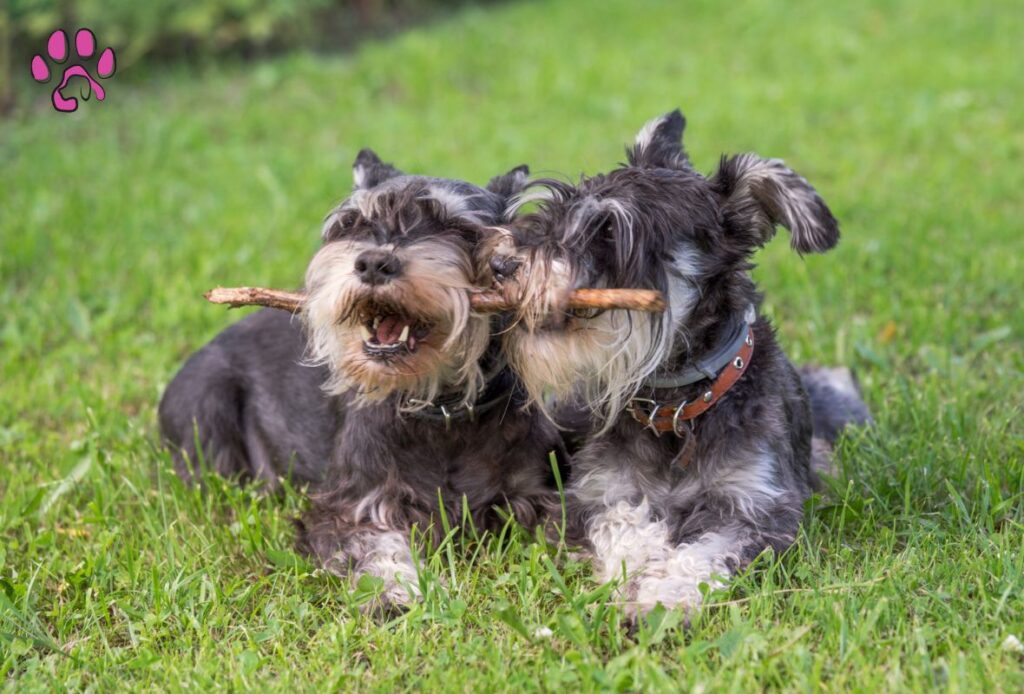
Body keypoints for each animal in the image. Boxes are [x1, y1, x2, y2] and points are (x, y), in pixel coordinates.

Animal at [160, 150, 565, 610]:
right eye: (352, 224)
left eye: (458, 229)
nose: (372, 262)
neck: (440, 411)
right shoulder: (356, 504)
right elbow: (375, 547)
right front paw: (397, 593)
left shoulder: (533, 495)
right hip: (206, 409)